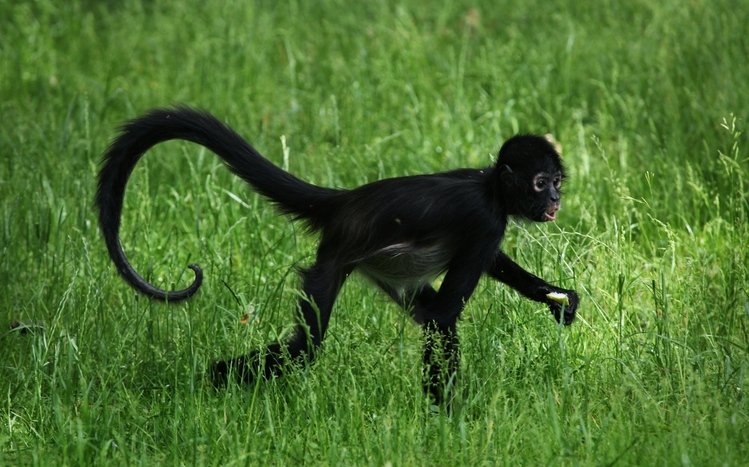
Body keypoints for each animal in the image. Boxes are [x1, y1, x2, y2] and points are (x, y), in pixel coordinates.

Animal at [95, 107, 579, 405]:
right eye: (540, 183)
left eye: (556, 181)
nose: (555, 199)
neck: (490, 188)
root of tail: (344, 201)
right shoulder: (485, 220)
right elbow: (444, 317)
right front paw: (446, 417)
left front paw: (554, 296)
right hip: (329, 262)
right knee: (306, 346)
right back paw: (215, 377)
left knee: (418, 310)